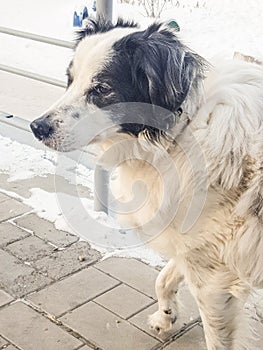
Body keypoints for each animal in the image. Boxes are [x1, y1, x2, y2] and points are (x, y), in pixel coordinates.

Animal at [31, 17, 263, 348]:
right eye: (70, 79)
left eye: (103, 88)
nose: (36, 127)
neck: (182, 129)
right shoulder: (194, 245)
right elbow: (163, 278)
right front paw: (166, 316)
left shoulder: (214, 280)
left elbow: (216, 337)